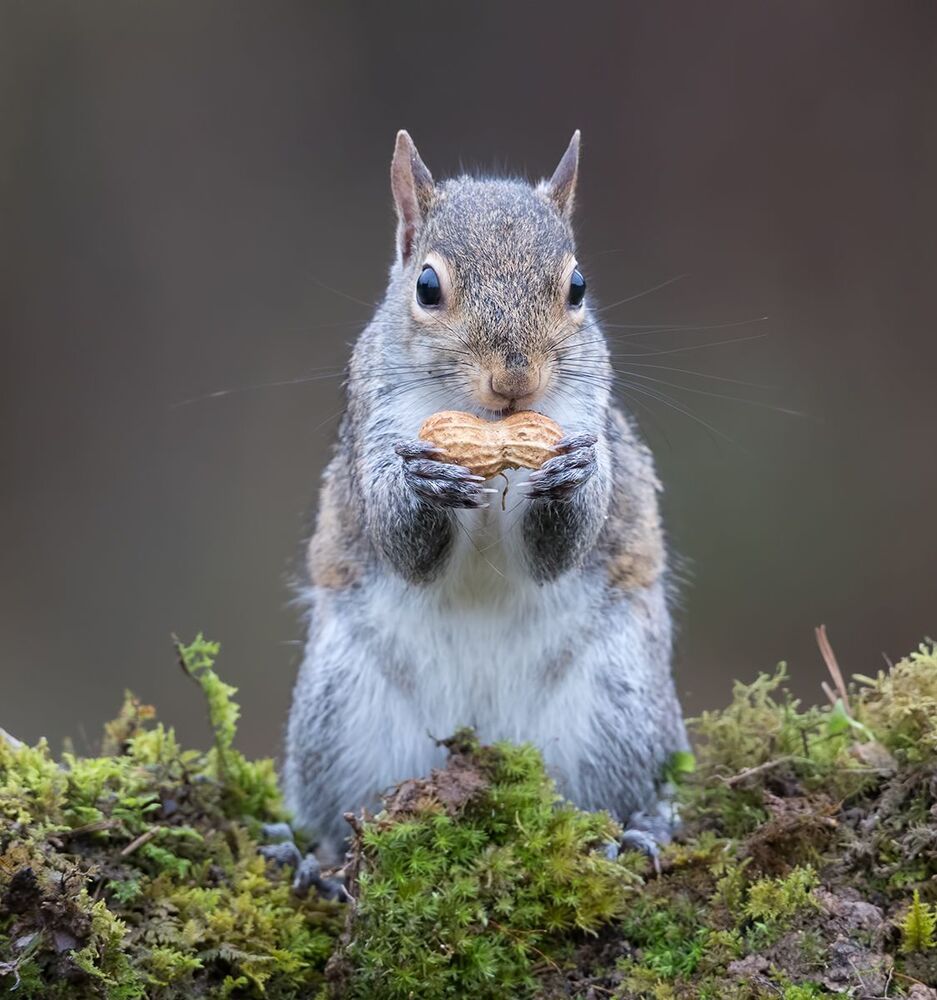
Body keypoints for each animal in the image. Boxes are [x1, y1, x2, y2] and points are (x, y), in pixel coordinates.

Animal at [283, 131, 688, 863]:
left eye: (577, 287)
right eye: (426, 286)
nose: (514, 379)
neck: (490, 425)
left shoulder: (588, 417)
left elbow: (561, 548)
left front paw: (570, 477)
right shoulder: (374, 429)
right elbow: (402, 545)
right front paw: (425, 486)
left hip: (619, 704)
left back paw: (644, 826)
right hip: (339, 716)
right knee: (334, 814)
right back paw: (315, 860)